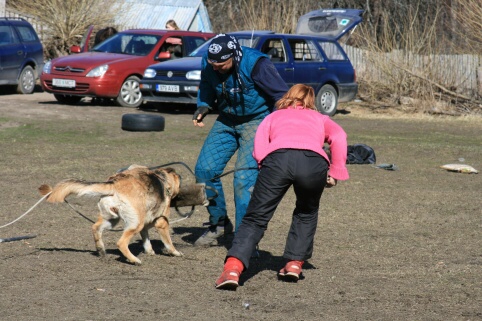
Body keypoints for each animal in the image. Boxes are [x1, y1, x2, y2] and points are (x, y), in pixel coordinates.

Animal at [38, 164, 183, 264]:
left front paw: (150, 251)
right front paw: (175, 252)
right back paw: (134, 260)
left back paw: (101, 250)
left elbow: (146, 239)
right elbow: (168, 242)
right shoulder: (162, 223)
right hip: (135, 223)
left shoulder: (145, 227)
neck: (164, 180)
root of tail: (114, 184)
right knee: (121, 243)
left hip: (111, 219)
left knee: (95, 228)